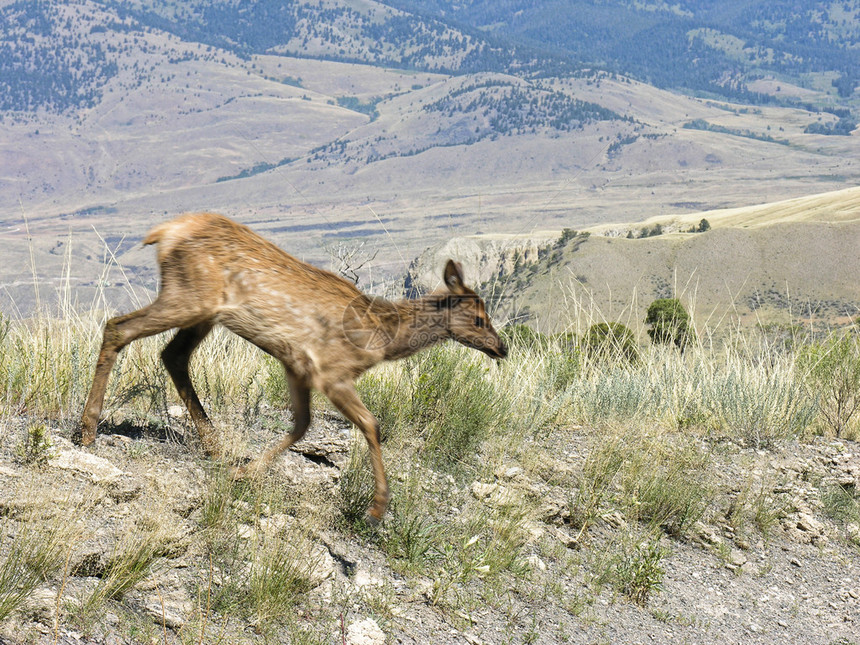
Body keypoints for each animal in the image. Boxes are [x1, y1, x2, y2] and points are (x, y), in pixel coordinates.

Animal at [77, 214, 508, 520]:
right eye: (479, 318)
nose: (501, 347)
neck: (381, 337)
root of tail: (164, 232)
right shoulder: (331, 372)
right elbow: (371, 424)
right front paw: (376, 509)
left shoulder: (297, 367)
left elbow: (302, 425)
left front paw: (246, 471)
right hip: (188, 296)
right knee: (118, 327)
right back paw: (88, 431)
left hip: (202, 311)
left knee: (173, 355)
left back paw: (214, 444)